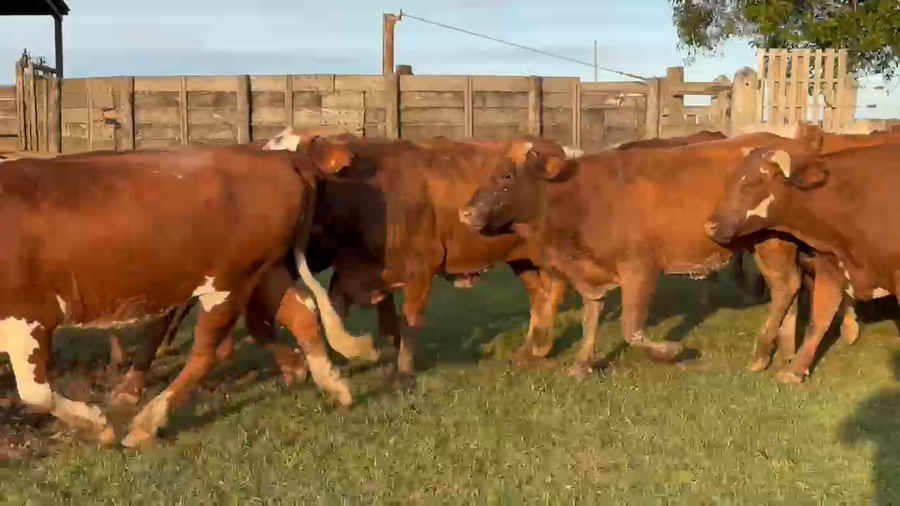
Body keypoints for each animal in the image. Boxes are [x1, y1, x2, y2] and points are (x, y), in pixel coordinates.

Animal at [0, 143, 380, 448]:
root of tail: (279, 158)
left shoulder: (26, 317)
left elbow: (35, 393)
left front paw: (98, 425)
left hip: (227, 283)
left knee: (204, 355)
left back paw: (147, 423)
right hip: (263, 270)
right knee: (301, 315)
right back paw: (330, 382)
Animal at [459, 132, 834, 376]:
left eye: (507, 174)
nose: (466, 213)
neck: (581, 197)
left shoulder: (640, 268)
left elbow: (631, 328)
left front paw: (670, 351)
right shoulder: (590, 273)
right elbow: (590, 316)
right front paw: (583, 363)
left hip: (772, 243)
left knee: (785, 287)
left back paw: (763, 351)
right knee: (788, 290)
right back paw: (782, 352)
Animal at [705, 143, 900, 382]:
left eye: (751, 184)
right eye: (729, 181)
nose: (710, 226)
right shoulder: (830, 266)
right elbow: (819, 319)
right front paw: (795, 370)